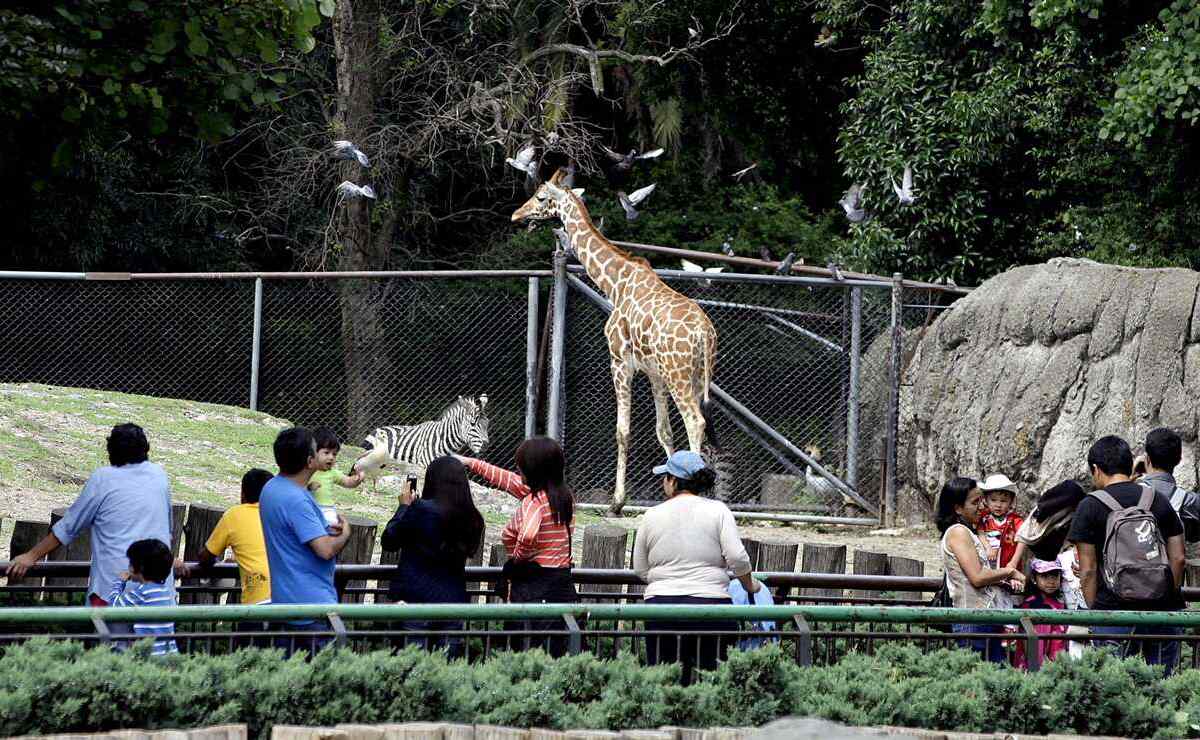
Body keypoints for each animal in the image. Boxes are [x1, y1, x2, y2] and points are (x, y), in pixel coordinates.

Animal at [511, 169, 715, 513]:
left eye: (540, 197)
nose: (516, 215)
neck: (614, 284)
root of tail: (704, 333)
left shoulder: (620, 361)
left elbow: (622, 430)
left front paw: (618, 502)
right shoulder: (654, 373)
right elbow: (664, 432)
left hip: (679, 374)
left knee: (695, 421)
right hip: (698, 376)